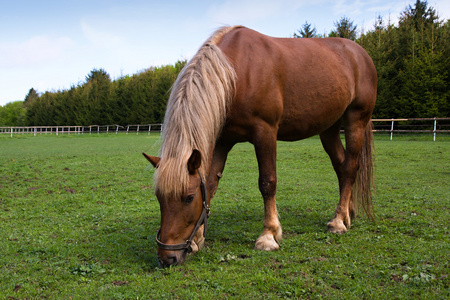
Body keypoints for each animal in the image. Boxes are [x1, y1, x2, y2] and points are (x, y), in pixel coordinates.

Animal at [143, 26, 376, 268]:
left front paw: (268, 236)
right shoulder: (222, 141)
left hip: (355, 120)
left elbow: (267, 182)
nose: (167, 258)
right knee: (341, 166)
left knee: (349, 167)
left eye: (188, 197)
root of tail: (360, 53)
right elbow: (211, 185)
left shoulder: (265, 132)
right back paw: (347, 213)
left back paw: (338, 222)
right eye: (159, 197)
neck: (235, 73)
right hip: (329, 128)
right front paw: (198, 239)